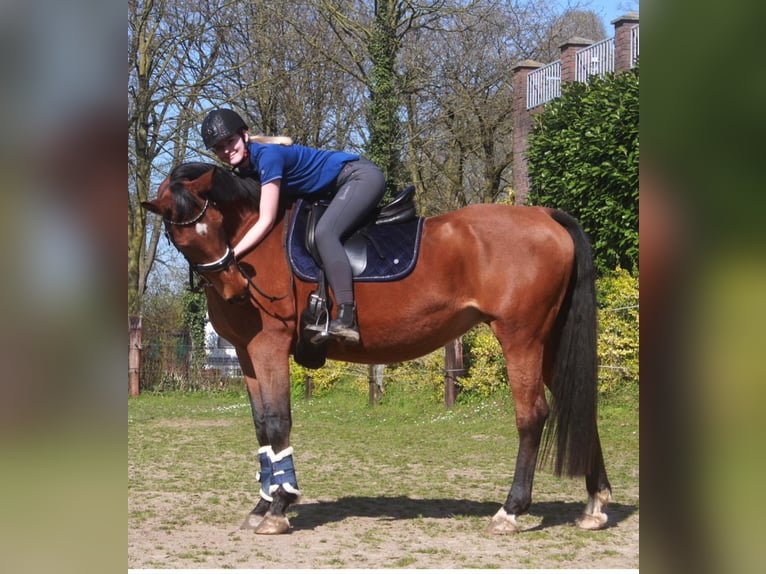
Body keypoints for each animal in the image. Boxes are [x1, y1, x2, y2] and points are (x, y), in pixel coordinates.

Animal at [142, 163, 612, 540]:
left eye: (213, 224)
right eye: (182, 237)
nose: (237, 289)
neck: (260, 240)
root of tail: (544, 214)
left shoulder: (268, 346)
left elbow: (278, 423)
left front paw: (278, 507)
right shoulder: (245, 353)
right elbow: (260, 427)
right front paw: (262, 504)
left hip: (521, 339)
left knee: (532, 415)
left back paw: (511, 510)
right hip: (549, 342)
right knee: (579, 405)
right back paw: (595, 504)